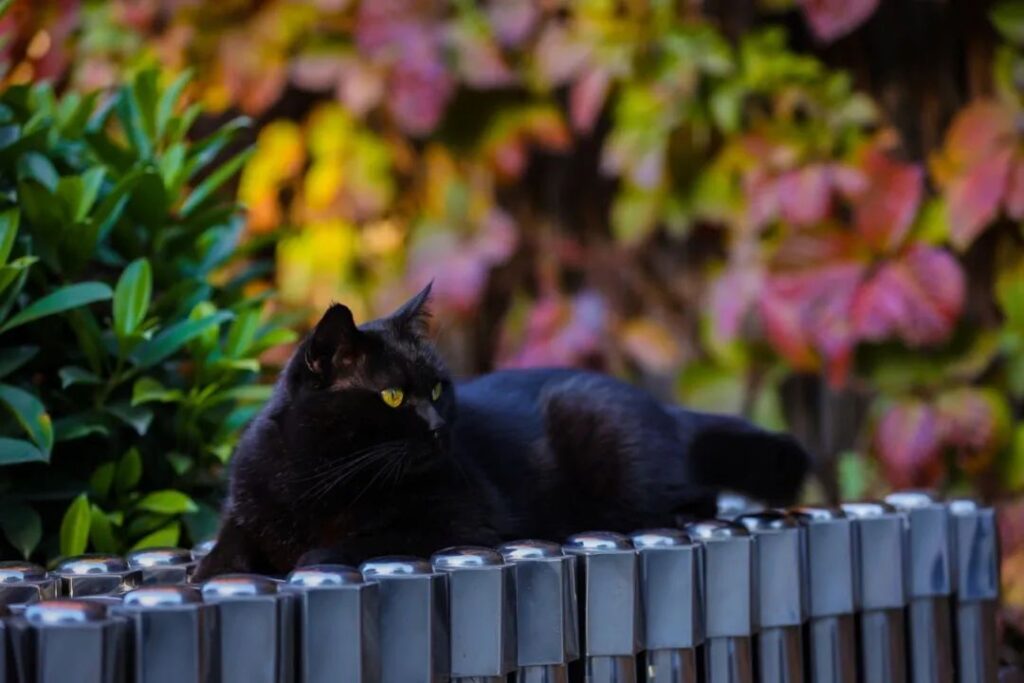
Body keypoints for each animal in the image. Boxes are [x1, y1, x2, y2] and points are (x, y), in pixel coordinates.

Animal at [195, 286, 811, 581]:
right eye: (393, 397)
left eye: (437, 389)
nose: (439, 428)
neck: (318, 477)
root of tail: (663, 406)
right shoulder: (244, 508)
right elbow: (225, 551)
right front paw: (213, 568)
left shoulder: (460, 519)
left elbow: (340, 545)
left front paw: (310, 553)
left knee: (696, 494)